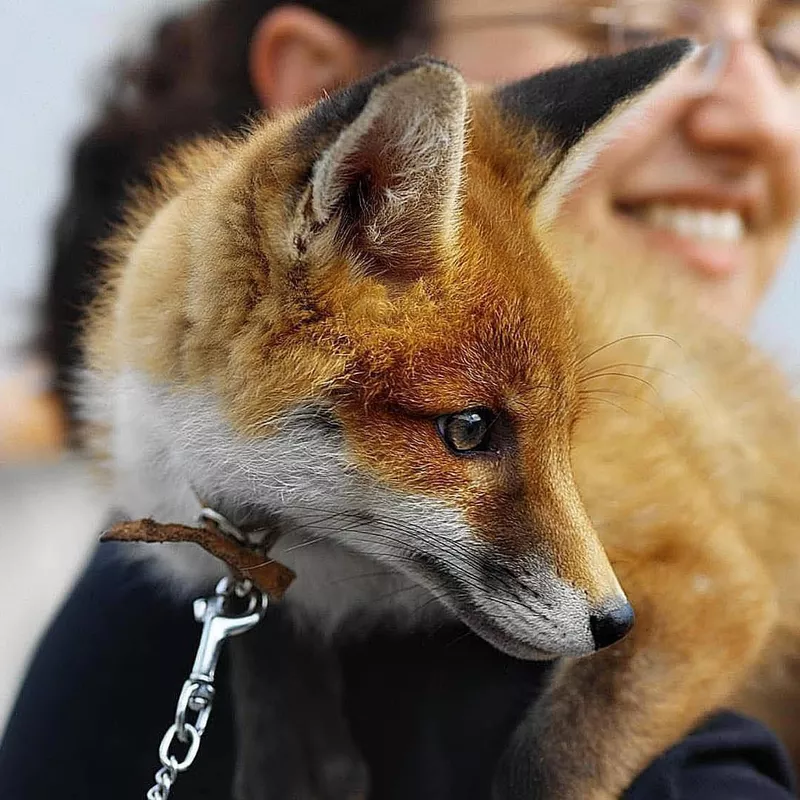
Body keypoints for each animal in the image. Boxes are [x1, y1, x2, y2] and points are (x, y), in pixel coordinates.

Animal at [81, 40, 800, 800]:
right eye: (469, 429)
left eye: (568, 429)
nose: (616, 622)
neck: (333, 562)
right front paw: (298, 757)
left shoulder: (708, 575)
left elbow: (555, 759)